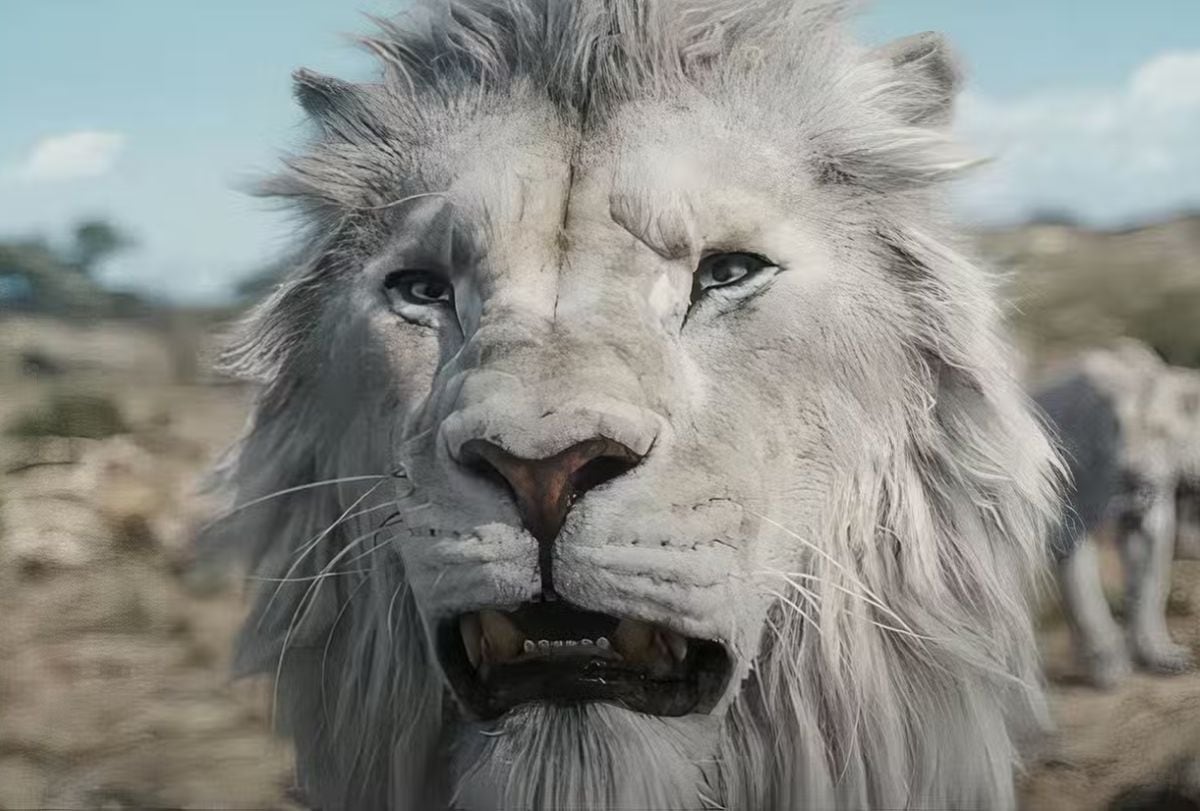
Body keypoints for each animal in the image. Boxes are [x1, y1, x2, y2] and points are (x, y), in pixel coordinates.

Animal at [1038, 341, 1200, 688]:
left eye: (1161, 432)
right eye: (1110, 429)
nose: (1131, 475)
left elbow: (1151, 553)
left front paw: (1169, 661)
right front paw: (1112, 675)